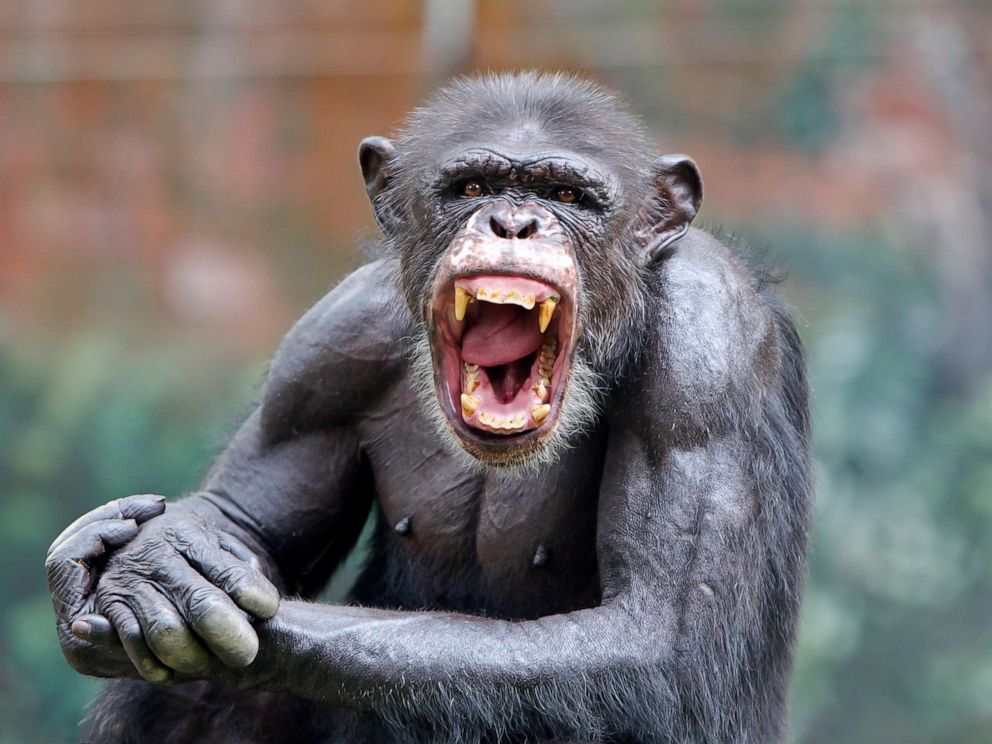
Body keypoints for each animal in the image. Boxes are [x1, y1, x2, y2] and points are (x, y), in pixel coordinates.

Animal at [44, 74, 812, 744]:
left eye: (567, 194)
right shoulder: (324, 353)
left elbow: (652, 633)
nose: (513, 221)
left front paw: (154, 576)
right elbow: (244, 522)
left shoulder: (707, 347)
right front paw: (148, 557)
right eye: (470, 187)